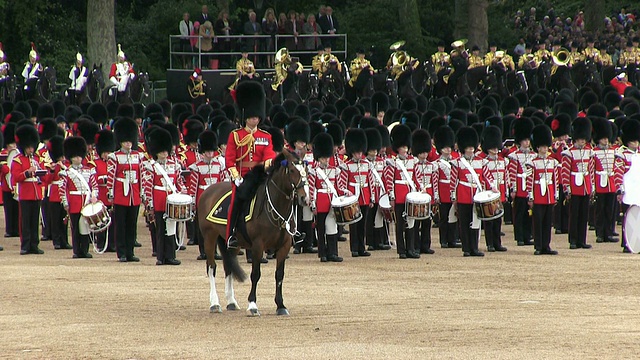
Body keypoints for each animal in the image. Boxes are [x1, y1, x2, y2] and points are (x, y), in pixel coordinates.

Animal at [200, 148, 310, 316]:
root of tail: (209, 190)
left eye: (306, 171)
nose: (305, 198)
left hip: (232, 243)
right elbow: (255, 274)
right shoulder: (258, 246)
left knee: (228, 266)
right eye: (292, 170)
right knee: (211, 267)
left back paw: (231, 302)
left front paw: (281, 305)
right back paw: (215, 303)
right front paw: (252, 305)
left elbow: (279, 275)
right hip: (209, 237)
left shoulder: (284, 247)